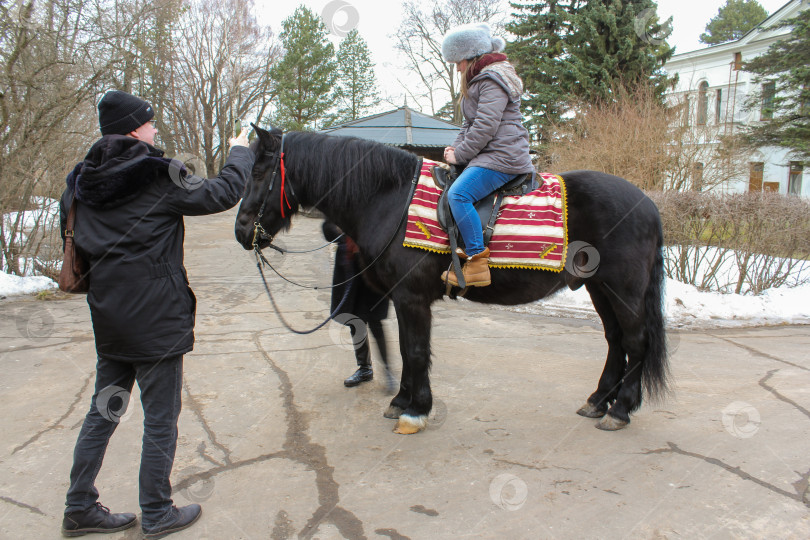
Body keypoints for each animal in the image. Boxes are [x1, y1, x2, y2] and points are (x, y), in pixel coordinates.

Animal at [237, 125, 664, 434]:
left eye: (259, 172)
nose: (242, 231)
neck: (391, 198)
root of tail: (647, 203)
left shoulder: (411, 298)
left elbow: (415, 350)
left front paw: (416, 411)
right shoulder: (402, 298)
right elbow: (406, 347)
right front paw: (401, 401)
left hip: (623, 289)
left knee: (635, 341)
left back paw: (620, 410)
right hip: (599, 288)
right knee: (615, 340)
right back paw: (598, 401)